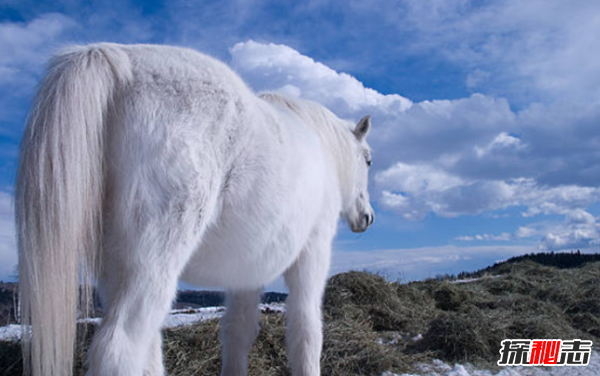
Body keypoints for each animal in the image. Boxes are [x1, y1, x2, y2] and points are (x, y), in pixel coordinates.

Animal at [15, 42, 376, 374]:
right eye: (369, 160)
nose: (367, 217)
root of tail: (121, 62)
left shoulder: (247, 272)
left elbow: (237, 332)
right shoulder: (312, 253)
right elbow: (306, 330)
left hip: (116, 268)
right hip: (154, 261)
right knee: (119, 347)